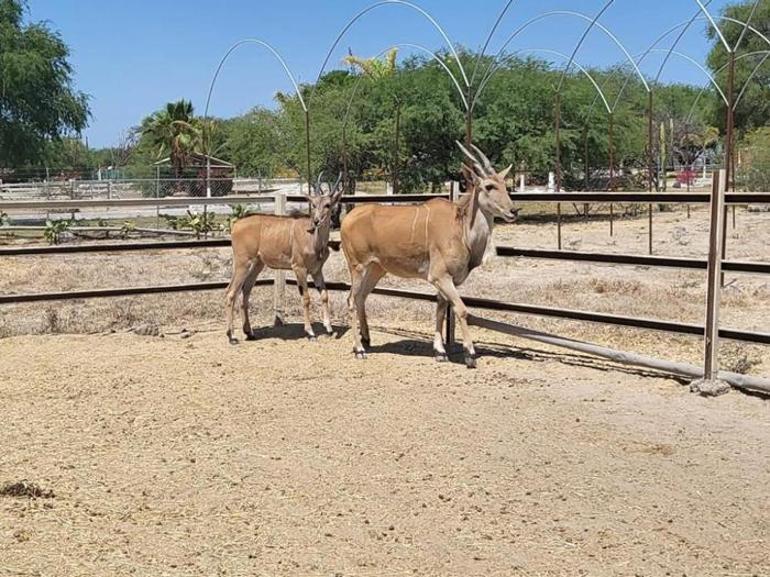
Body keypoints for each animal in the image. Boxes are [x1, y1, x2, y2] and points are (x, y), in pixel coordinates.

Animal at [340, 142, 516, 366]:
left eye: (505, 185)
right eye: (489, 186)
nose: (513, 211)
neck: (461, 228)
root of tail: (347, 218)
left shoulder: (448, 280)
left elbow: (441, 308)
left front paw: (440, 351)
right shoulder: (440, 276)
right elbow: (461, 309)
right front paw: (469, 353)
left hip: (376, 268)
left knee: (361, 296)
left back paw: (366, 338)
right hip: (357, 266)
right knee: (351, 300)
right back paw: (359, 348)